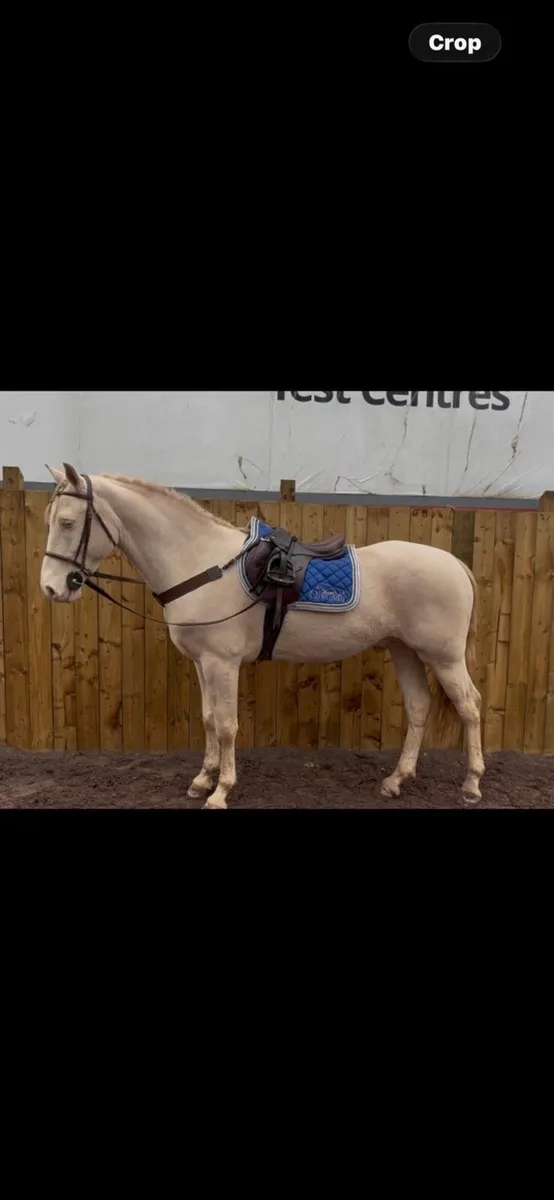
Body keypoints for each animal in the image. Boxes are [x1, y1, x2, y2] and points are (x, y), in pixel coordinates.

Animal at [40, 463, 484, 809]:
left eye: (67, 523)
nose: (52, 588)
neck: (202, 564)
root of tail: (457, 566)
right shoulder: (202, 663)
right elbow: (208, 719)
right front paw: (202, 779)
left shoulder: (222, 663)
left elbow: (226, 725)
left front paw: (221, 791)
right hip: (404, 650)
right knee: (419, 707)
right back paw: (396, 781)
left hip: (443, 657)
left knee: (470, 707)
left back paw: (472, 785)